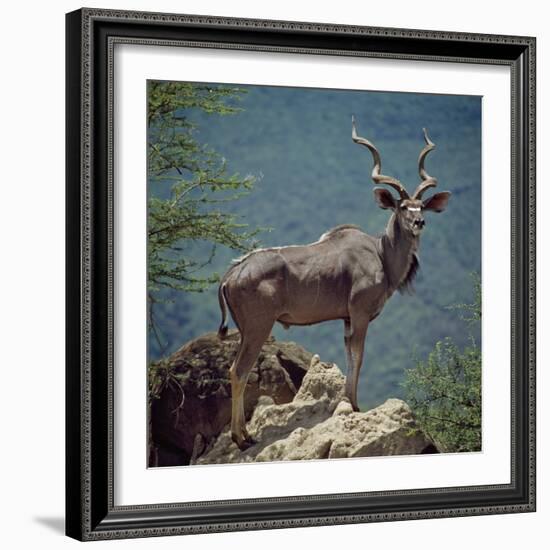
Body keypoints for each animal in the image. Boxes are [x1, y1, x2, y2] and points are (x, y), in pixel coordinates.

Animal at [217, 118, 452, 450]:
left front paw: (347, 402)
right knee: (239, 371)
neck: (381, 253)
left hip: (245, 330)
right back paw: (242, 438)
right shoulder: (360, 314)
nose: (419, 223)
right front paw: (354, 405)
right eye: (403, 207)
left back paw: (244, 434)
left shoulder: (346, 319)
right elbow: (359, 356)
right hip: (258, 327)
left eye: (421, 206)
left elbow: (349, 356)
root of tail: (231, 274)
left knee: (234, 369)